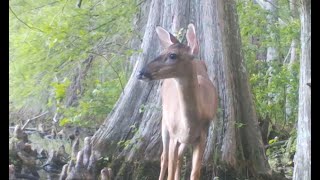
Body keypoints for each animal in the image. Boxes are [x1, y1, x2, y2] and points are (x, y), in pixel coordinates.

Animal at [138, 24, 218, 180]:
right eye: (162, 51)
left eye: (172, 55)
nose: (141, 72)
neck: (190, 122)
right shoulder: (174, 133)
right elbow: (170, 168)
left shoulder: (202, 136)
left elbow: (195, 173)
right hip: (165, 124)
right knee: (164, 158)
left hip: (184, 139)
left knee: (179, 158)